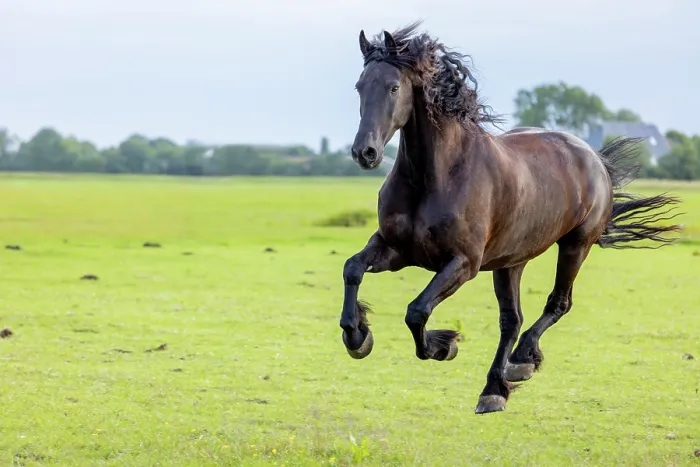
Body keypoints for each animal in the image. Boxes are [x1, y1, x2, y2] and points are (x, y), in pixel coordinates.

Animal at [338, 22, 682, 414]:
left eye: (394, 87)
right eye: (360, 86)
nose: (364, 152)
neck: (436, 176)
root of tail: (595, 158)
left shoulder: (463, 263)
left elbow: (417, 310)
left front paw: (443, 345)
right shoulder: (397, 250)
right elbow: (352, 269)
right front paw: (357, 335)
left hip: (575, 245)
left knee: (556, 304)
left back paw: (519, 364)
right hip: (510, 262)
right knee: (511, 320)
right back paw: (494, 389)